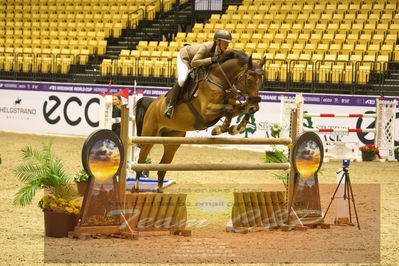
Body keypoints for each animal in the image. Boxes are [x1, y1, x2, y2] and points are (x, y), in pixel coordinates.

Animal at [134, 49, 266, 191]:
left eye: (261, 81)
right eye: (249, 79)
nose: (254, 106)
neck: (219, 79)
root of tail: (153, 104)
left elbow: (239, 109)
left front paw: (236, 128)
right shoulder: (207, 110)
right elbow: (229, 110)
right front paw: (220, 129)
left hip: (172, 141)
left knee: (162, 166)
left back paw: (159, 190)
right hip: (149, 136)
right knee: (141, 161)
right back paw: (136, 188)